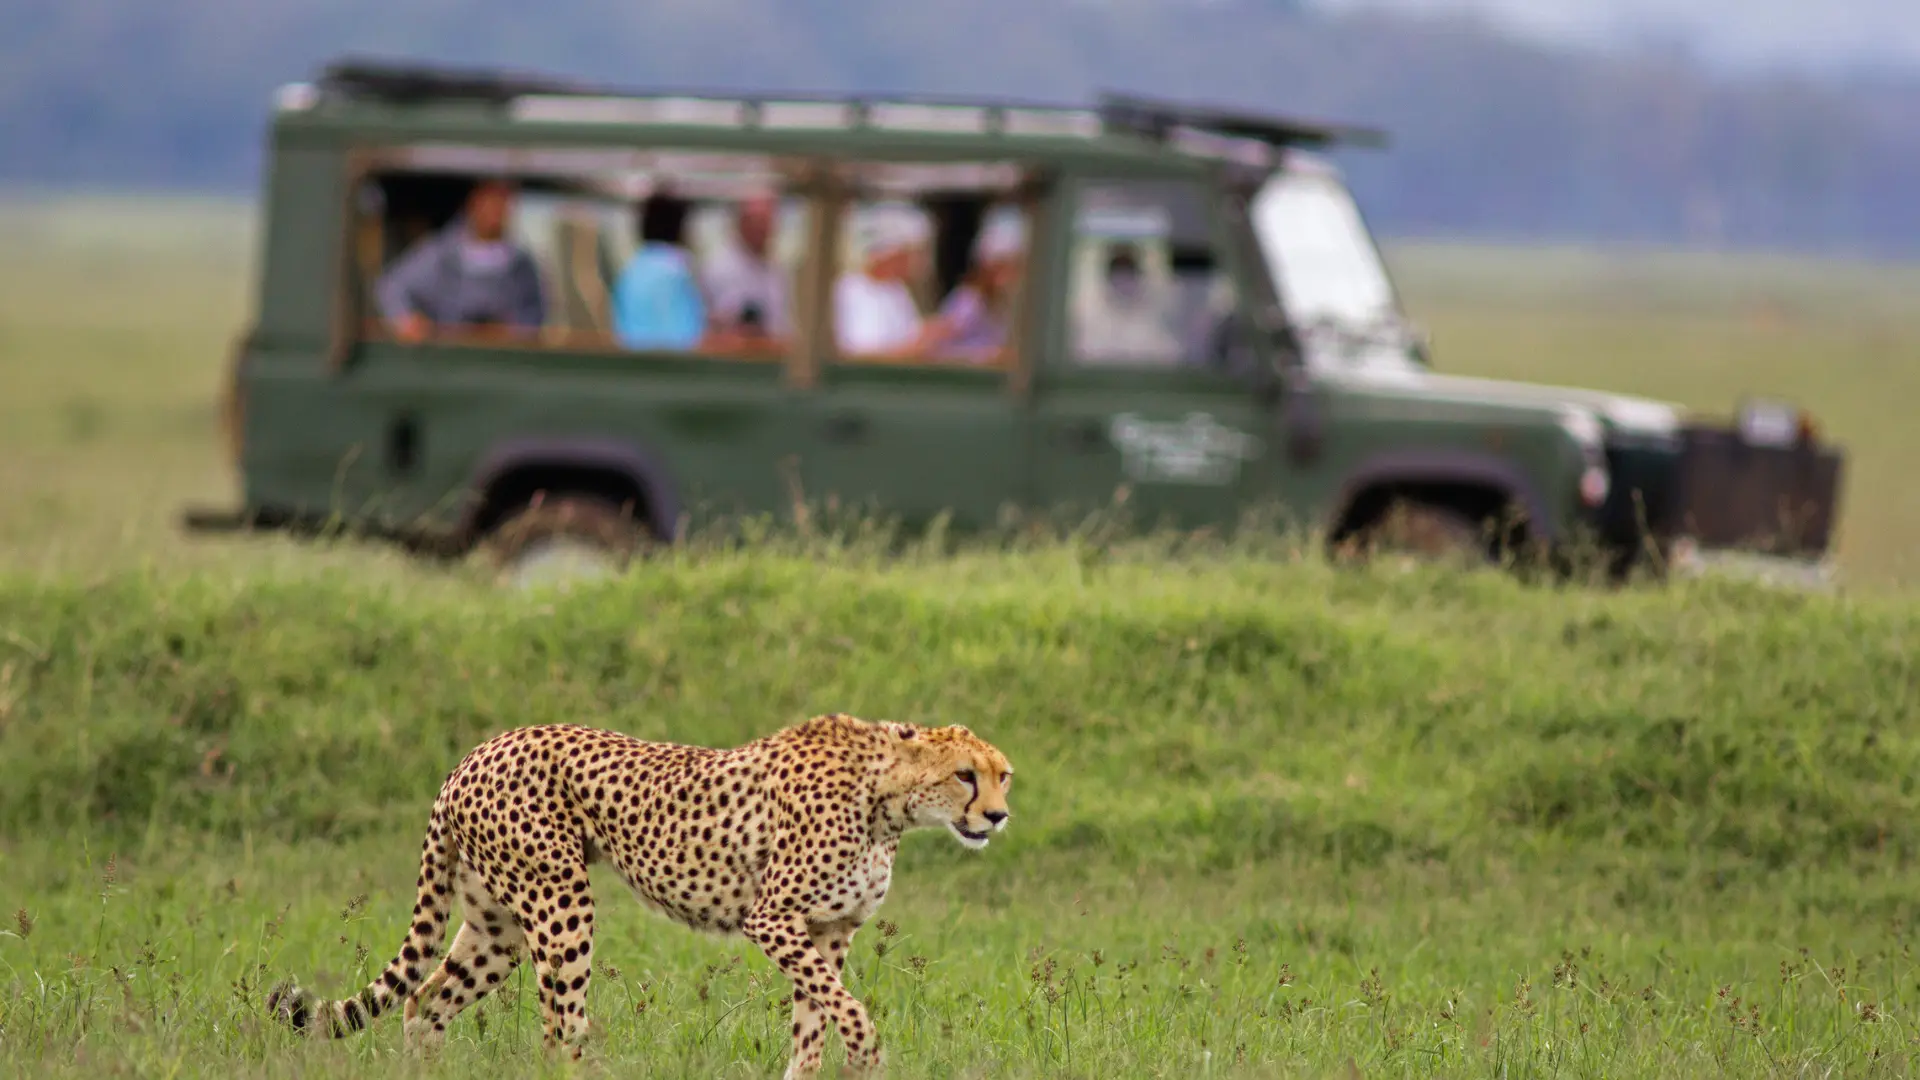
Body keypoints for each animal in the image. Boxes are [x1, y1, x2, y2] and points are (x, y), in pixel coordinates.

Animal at [270, 711, 1021, 1068]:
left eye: (1003, 775)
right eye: (964, 775)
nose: (997, 816)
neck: (888, 800)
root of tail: (474, 754)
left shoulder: (827, 932)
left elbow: (814, 1023)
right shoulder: (774, 920)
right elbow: (850, 1011)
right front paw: (867, 1055)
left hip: (495, 925)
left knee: (423, 1003)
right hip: (561, 902)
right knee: (558, 1028)